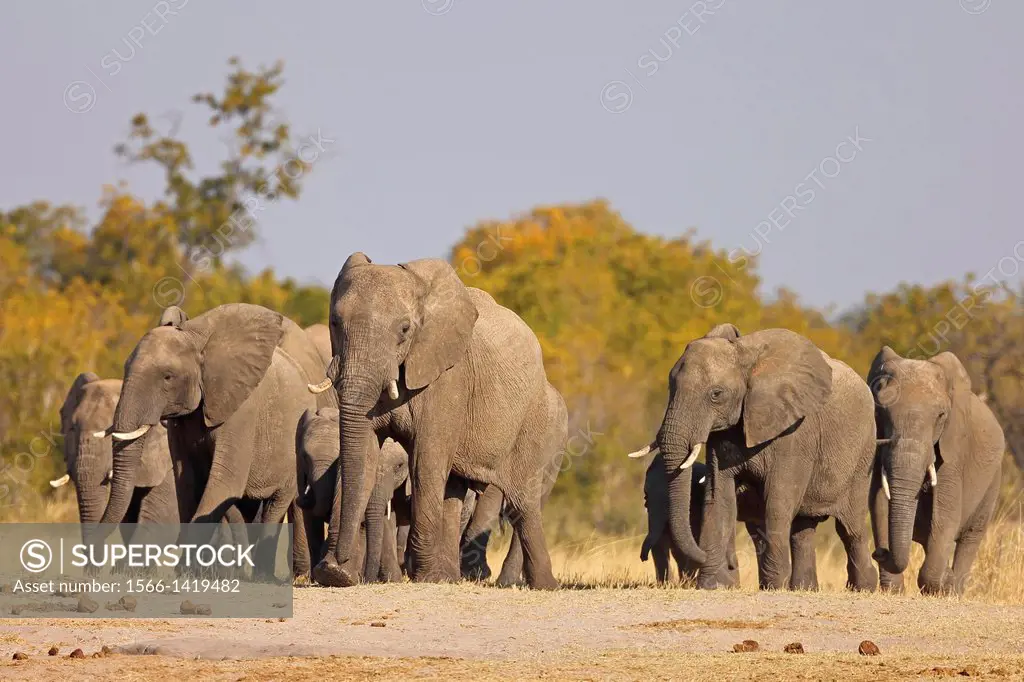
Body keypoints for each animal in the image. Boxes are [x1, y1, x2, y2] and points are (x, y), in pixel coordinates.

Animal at [309, 251, 569, 585]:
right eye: (335, 322)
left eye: (404, 330)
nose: (337, 563)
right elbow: (363, 452)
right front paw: (334, 574)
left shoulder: (448, 378)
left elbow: (426, 459)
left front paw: (424, 577)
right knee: (456, 491)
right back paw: (449, 577)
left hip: (535, 419)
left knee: (522, 500)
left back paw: (541, 585)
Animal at [626, 323, 876, 589]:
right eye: (670, 387)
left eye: (716, 394)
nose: (728, 563)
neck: (745, 357)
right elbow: (719, 497)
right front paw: (713, 585)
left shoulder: (795, 431)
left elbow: (778, 500)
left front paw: (774, 587)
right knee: (803, 530)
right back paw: (804, 588)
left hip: (862, 456)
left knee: (851, 529)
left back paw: (864, 587)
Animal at [868, 348, 1003, 593]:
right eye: (879, 413)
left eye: (941, 416)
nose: (879, 552)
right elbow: (878, 503)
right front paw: (893, 590)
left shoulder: (954, 448)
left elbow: (946, 513)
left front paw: (939, 584)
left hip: (993, 479)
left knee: (970, 537)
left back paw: (954, 587)